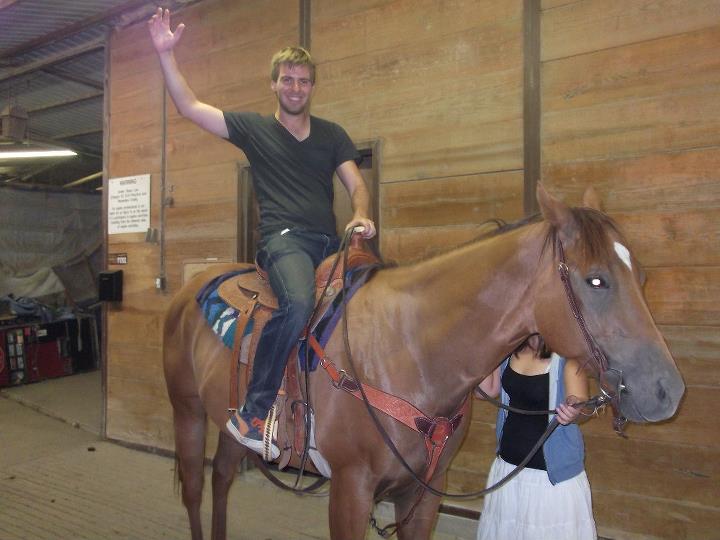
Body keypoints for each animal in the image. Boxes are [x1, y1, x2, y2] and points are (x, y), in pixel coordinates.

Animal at [165, 184, 688, 536]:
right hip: (187, 410)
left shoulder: (422, 494)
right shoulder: (350, 491)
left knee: (222, 480)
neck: (410, 352)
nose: (668, 391)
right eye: (596, 280)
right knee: (194, 487)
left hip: (227, 422)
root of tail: (190, 289)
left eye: (641, 276)